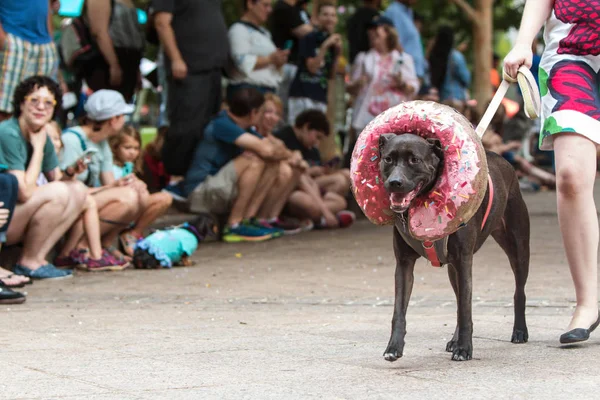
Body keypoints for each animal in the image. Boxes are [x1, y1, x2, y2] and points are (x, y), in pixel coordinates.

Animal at [380, 133, 528, 360]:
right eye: (388, 159)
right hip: (452, 269)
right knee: (459, 299)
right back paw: (454, 340)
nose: (394, 182)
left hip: (518, 248)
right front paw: (394, 347)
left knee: (518, 290)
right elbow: (399, 311)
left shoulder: (464, 260)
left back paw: (519, 331)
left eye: (414, 160)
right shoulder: (404, 264)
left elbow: (466, 309)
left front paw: (465, 348)